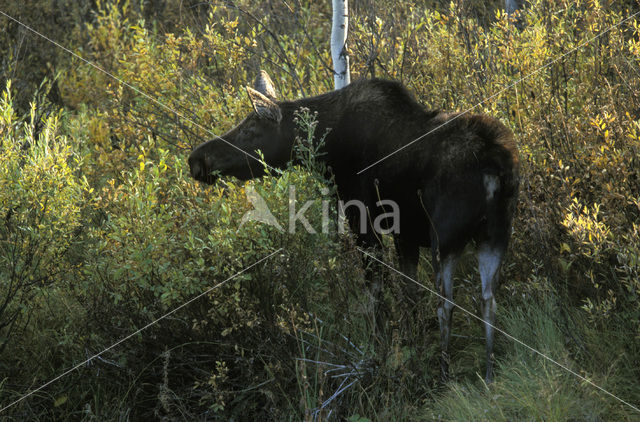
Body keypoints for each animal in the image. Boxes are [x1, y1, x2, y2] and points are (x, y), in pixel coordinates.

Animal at [189, 70, 520, 382]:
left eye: (250, 129)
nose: (197, 159)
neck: (327, 149)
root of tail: (495, 169)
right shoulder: (405, 233)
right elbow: (410, 293)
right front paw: (412, 346)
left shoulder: (361, 217)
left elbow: (375, 292)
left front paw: (381, 351)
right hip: (495, 236)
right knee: (488, 299)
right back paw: (489, 373)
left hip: (445, 238)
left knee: (448, 304)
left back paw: (444, 374)